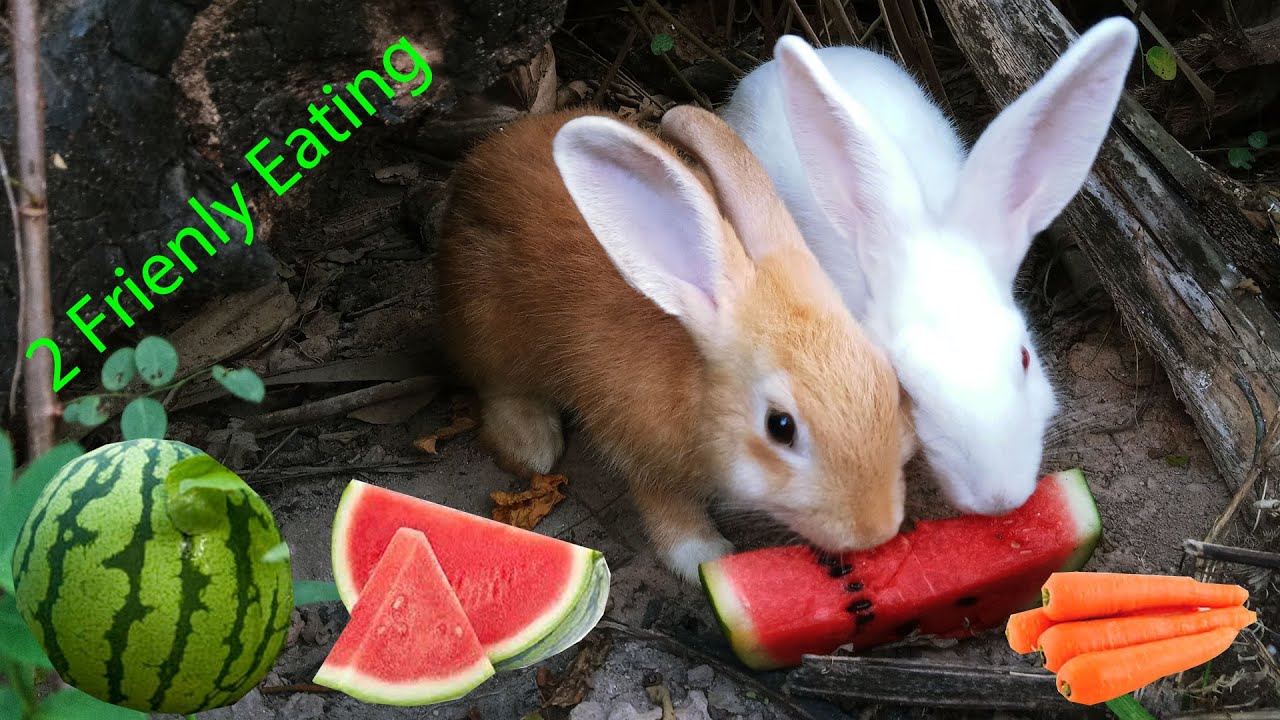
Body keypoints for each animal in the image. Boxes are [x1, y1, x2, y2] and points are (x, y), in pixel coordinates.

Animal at [434, 105, 916, 582]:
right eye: (780, 427)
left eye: (891, 388)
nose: (875, 529)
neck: (697, 390)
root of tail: (478, 163)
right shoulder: (638, 448)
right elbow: (663, 503)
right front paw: (702, 553)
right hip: (489, 328)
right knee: (497, 385)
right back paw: (531, 444)